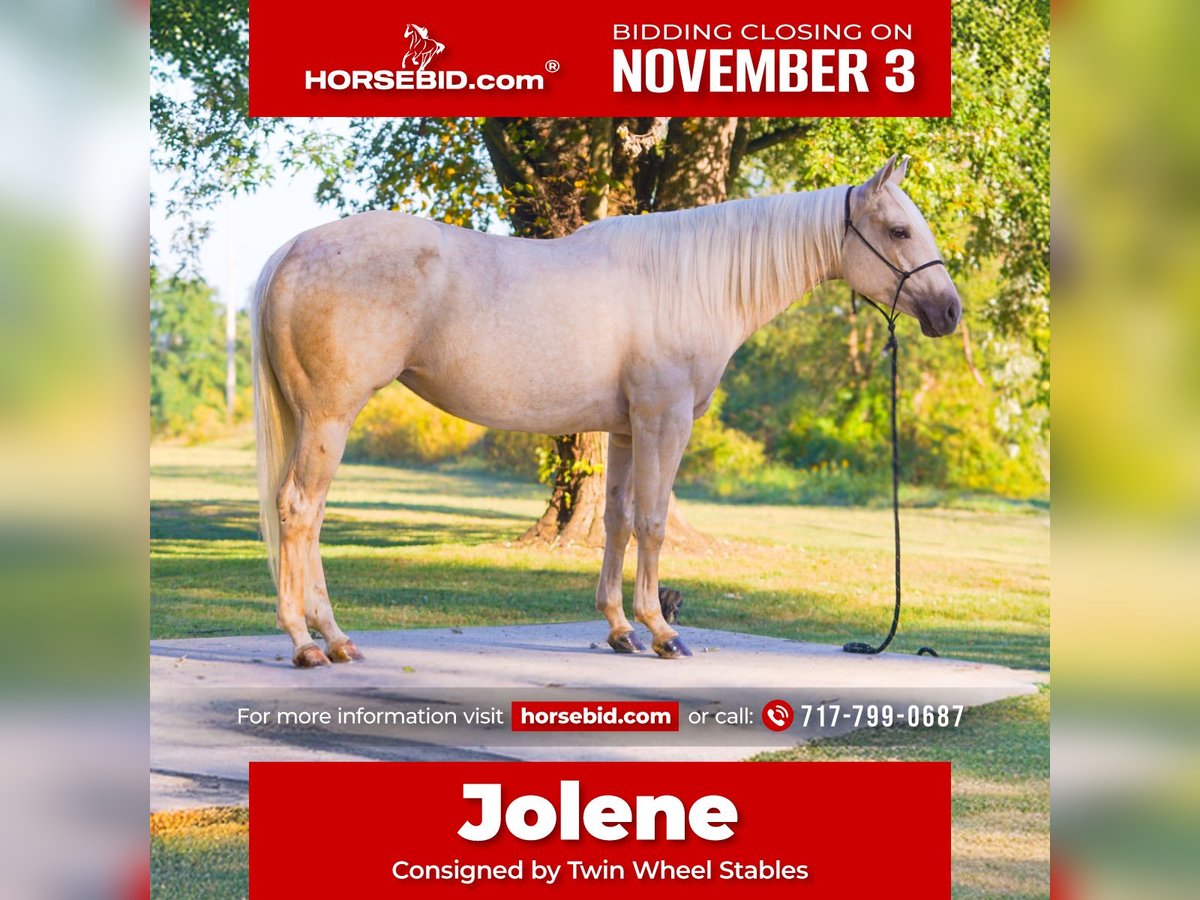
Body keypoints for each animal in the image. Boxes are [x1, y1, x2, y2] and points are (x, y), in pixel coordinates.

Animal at [251, 154, 961, 667]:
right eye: (899, 230)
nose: (949, 311)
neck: (689, 282)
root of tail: (292, 251)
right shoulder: (664, 420)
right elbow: (653, 521)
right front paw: (663, 632)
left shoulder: (624, 429)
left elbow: (617, 520)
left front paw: (621, 629)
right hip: (330, 418)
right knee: (300, 511)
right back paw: (311, 642)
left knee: (305, 515)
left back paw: (333, 640)